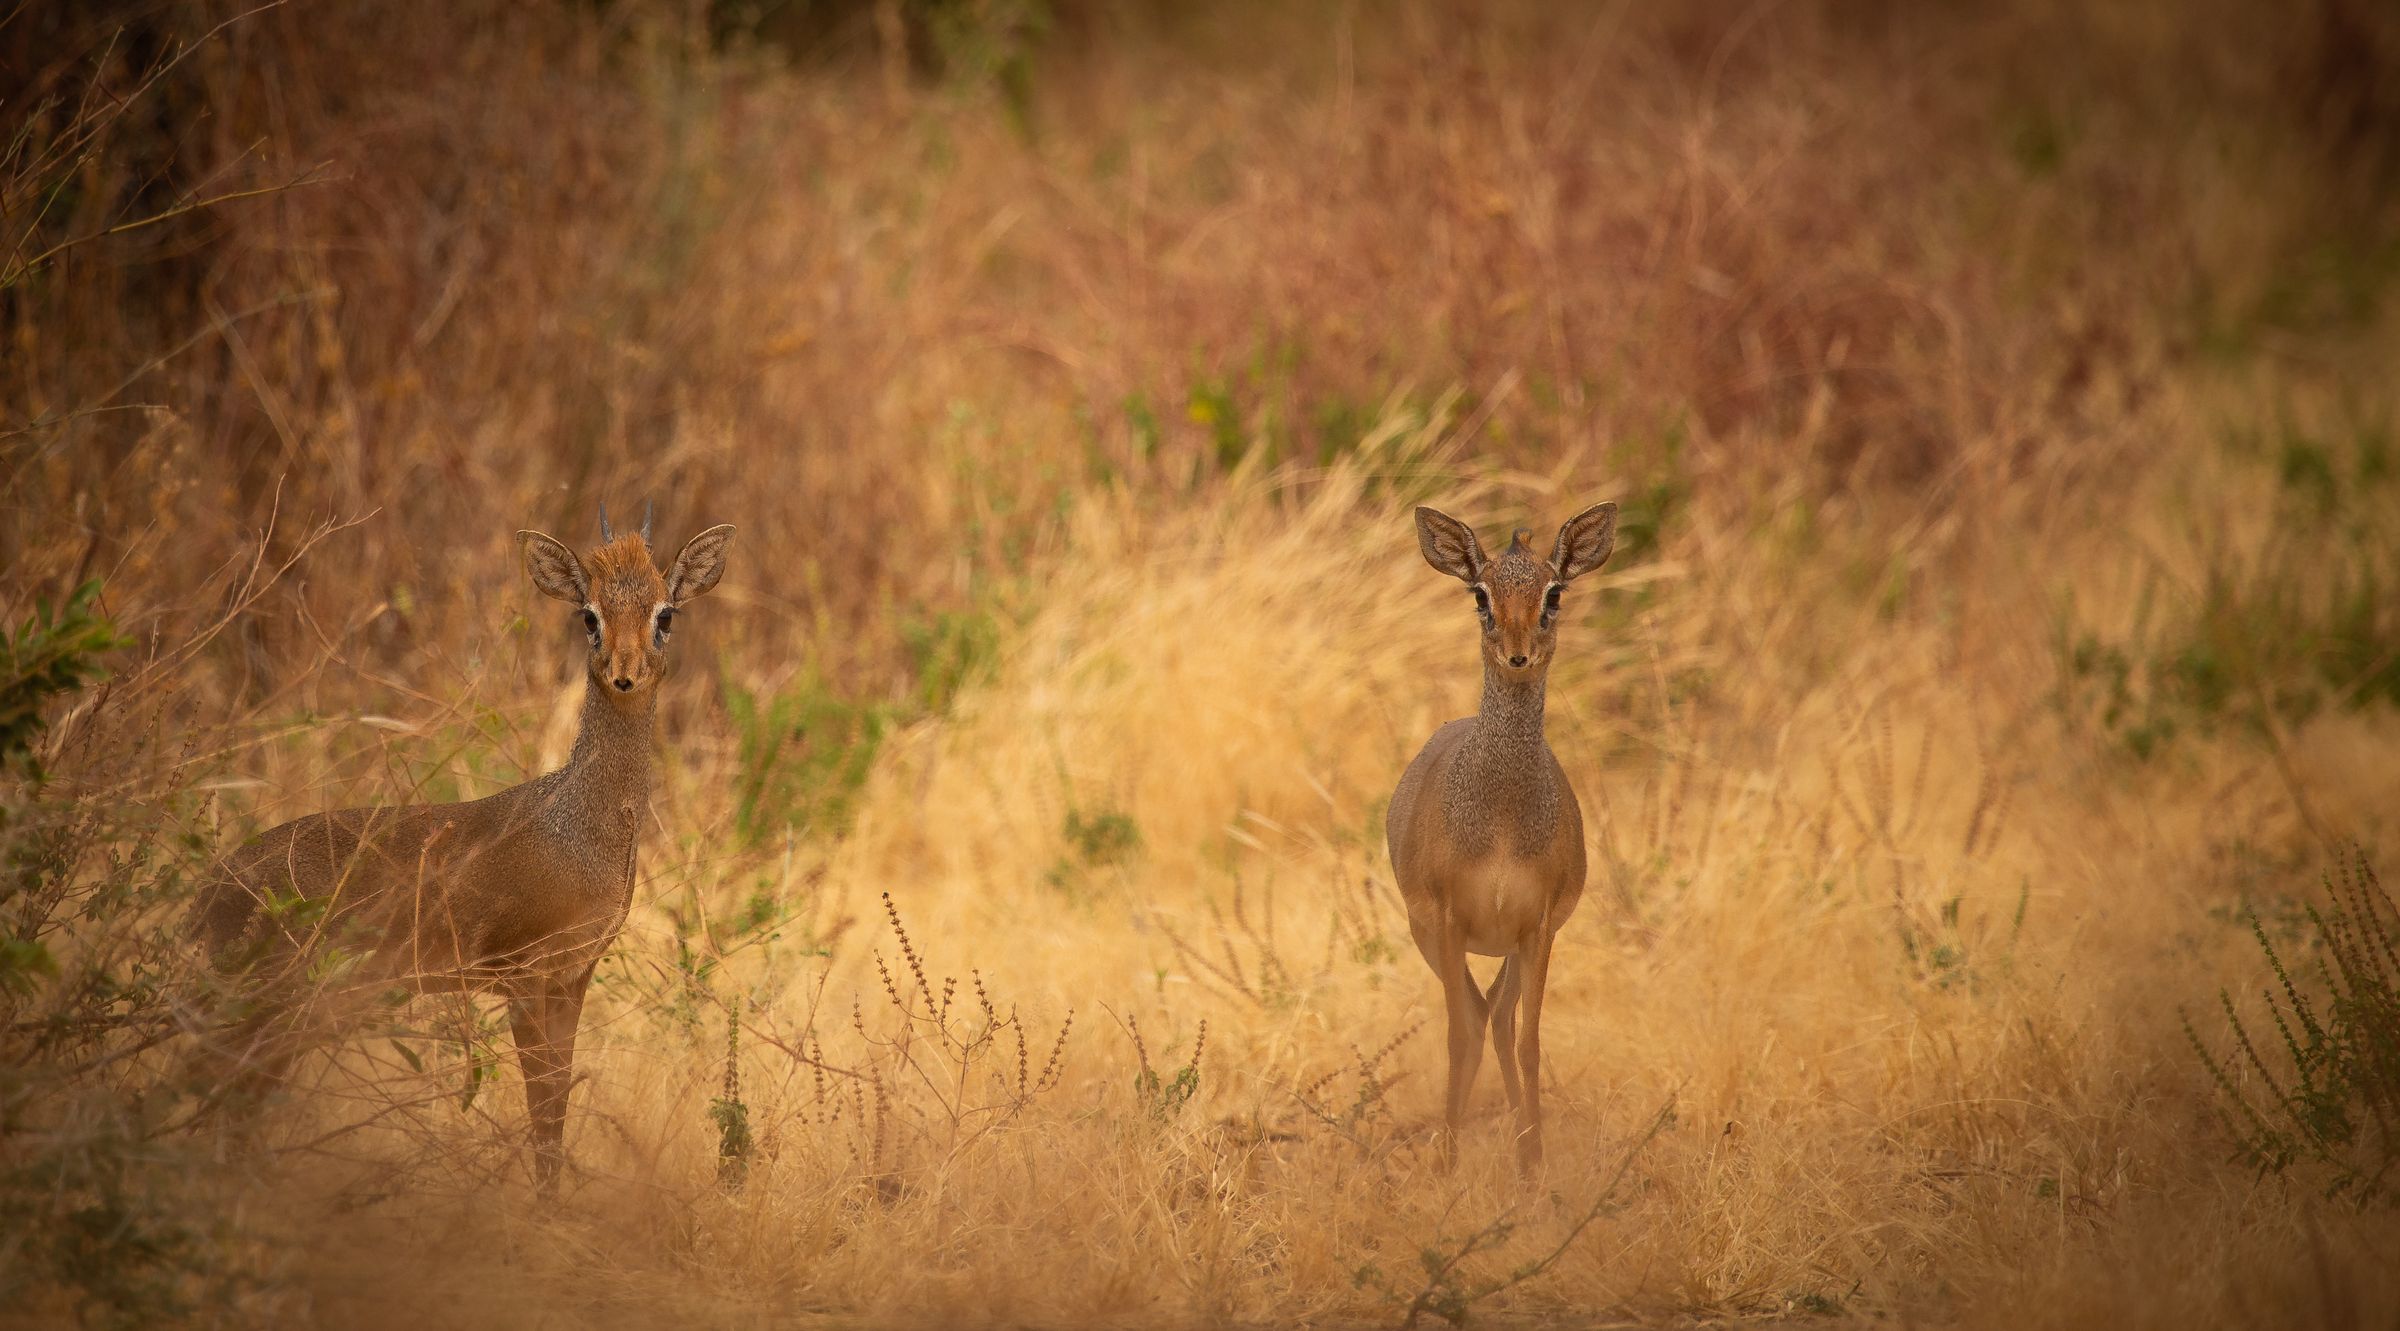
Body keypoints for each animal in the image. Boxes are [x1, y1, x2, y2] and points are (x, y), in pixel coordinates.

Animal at [193, 503, 734, 1190]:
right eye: (589, 615)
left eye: (666, 614)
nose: (624, 674)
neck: (578, 834)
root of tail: (207, 892)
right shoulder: (526, 977)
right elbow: (543, 1117)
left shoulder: (574, 977)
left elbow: (555, 1114)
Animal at [1385, 501, 1616, 1175]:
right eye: (1481, 595)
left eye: (1554, 592)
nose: (1518, 655)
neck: (1504, 824)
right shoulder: (1448, 918)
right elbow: (1457, 1035)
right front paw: (1448, 1163)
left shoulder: (1536, 925)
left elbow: (1530, 1038)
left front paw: (1533, 1164)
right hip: (1429, 936)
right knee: (1476, 1015)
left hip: (1509, 947)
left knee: (1499, 1016)